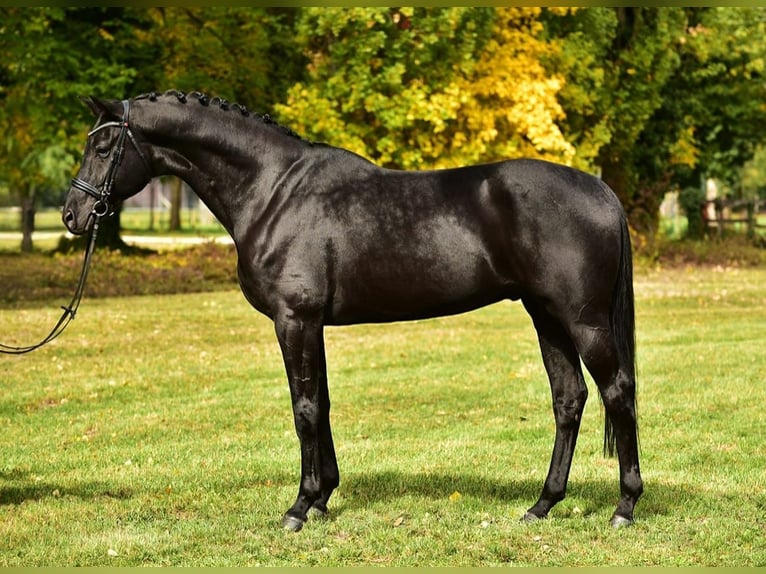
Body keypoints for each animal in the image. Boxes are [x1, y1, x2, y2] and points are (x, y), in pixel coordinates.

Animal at [63, 90, 643, 531]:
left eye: (105, 145)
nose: (73, 214)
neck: (273, 189)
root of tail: (600, 190)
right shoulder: (310, 323)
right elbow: (320, 404)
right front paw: (322, 498)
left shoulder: (294, 319)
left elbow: (303, 409)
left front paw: (299, 507)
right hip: (546, 316)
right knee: (569, 399)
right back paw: (542, 504)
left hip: (582, 319)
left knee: (617, 392)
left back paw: (624, 506)